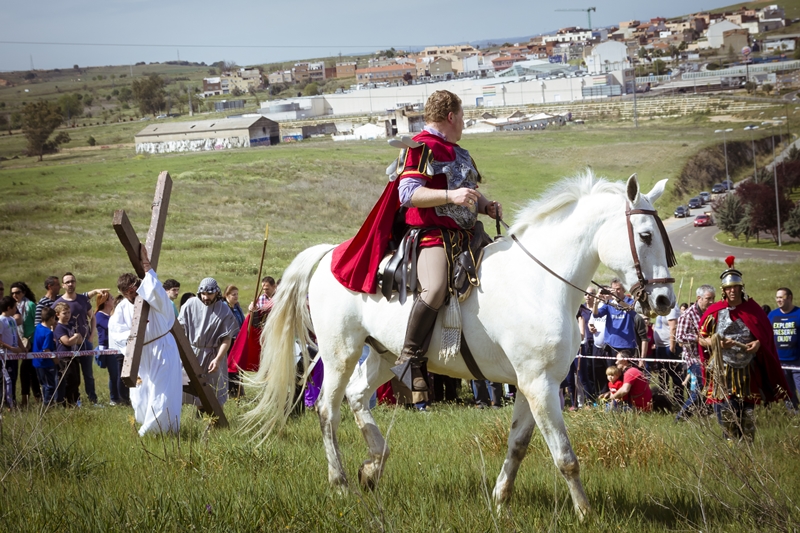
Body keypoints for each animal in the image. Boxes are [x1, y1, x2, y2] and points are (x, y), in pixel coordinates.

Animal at [242, 172, 676, 516]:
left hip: (384, 356)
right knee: (328, 411)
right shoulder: (540, 384)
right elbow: (565, 457)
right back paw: (341, 483)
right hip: (339, 354)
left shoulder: (533, 384)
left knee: (357, 396)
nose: (663, 301)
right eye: (645, 235)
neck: (540, 281)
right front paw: (585, 513)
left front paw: (500, 500)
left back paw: (373, 466)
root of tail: (333, 255)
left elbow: (518, 445)